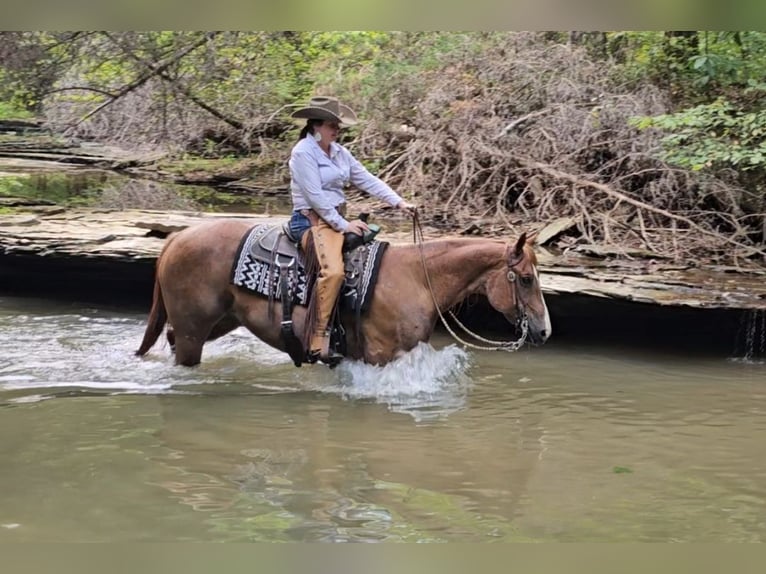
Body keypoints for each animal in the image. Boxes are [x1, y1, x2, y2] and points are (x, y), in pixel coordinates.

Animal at [134, 218, 552, 366]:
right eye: (526, 278)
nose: (545, 331)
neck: (417, 277)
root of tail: (177, 238)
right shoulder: (381, 357)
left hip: (218, 321)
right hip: (195, 329)